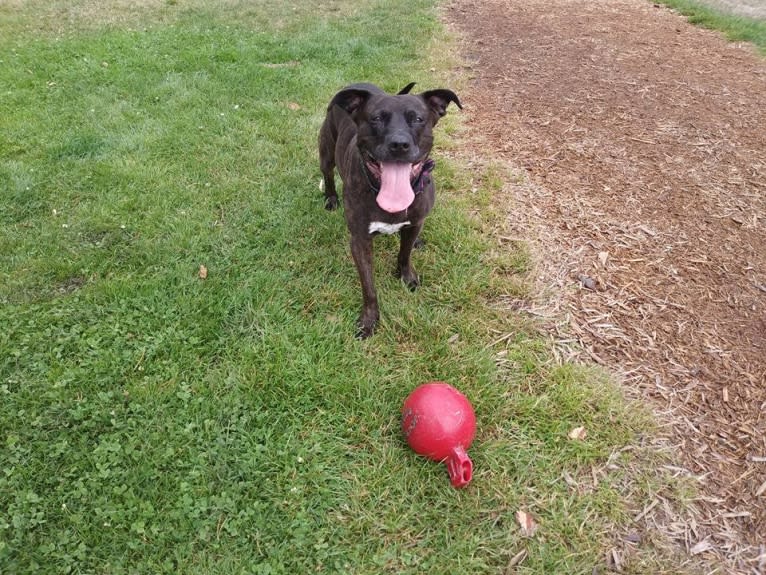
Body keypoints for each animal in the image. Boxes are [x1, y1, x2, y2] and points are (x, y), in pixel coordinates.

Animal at [318, 83, 462, 340]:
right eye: (376, 118)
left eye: (418, 119)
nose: (399, 144)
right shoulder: (360, 240)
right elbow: (369, 286)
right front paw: (369, 320)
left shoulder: (414, 222)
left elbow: (405, 253)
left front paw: (407, 277)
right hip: (326, 151)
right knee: (328, 173)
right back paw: (331, 198)